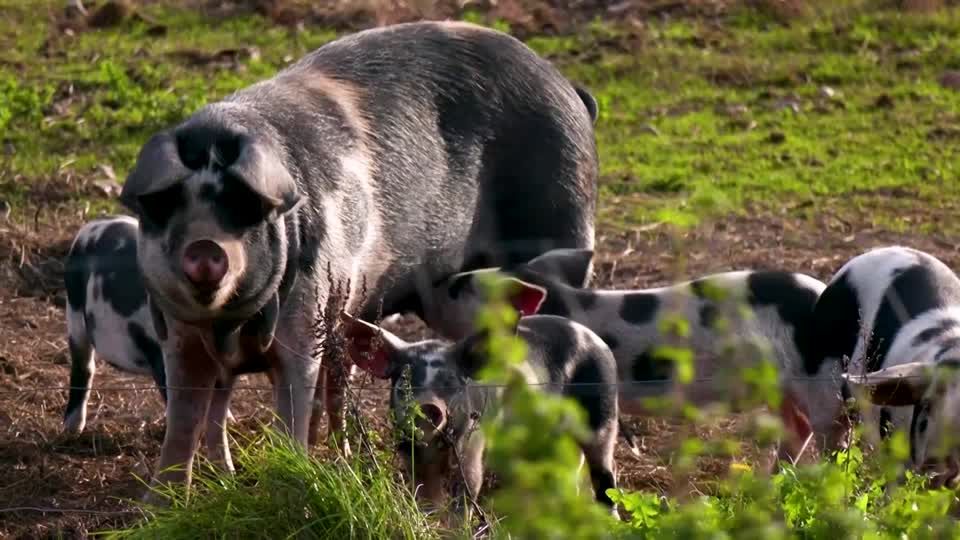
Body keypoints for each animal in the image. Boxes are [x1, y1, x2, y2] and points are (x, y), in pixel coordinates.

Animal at [117, 20, 599, 499]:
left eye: (243, 206)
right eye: (167, 205)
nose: (205, 248)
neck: (229, 327)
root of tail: (568, 89)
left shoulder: (305, 320)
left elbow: (292, 407)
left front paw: (289, 475)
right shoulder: (177, 333)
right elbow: (183, 422)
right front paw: (159, 504)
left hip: (562, 215)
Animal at [340, 309, 620, 516]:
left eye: (450, 382)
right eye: (405, 380)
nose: (428, 406)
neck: (435, 447)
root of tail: (594, 338)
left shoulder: (473, 442)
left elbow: (468, 490)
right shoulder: (411, 454)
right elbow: (426, 497)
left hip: (603, 415)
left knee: (605, 476)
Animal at [427, 248, 845, 465]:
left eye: (460, 287)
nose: (436, 282)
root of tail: (825, 296)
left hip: (821, 382)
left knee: (833, 436)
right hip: (785, 389)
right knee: (798, 429)